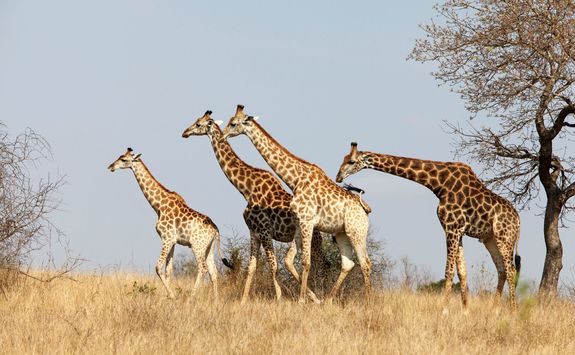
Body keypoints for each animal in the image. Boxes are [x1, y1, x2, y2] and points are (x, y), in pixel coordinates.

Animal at [108, 149, 227, 302]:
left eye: (123, 159)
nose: (110, 167)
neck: (158, 206)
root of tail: (215, 230)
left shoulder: (167, 238)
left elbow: (158, 267)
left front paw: (172, 296)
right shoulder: (173, 241)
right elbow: (168, 269)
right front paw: (167, 299)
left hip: (197, 245)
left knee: (203, 268)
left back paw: (190, 299)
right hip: (209, 247)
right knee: (213, 271)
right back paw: (216, 301)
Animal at [182, 110, 330, 304]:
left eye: (198, 124)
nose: (185, 132)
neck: (246, 188)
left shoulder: (265, 231)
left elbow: (273, 265)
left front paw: (279, 299)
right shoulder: (254, 232)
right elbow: (252, 267)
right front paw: (244, 301)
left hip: (313, 238)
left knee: (322, 264)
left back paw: (319, 295)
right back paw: (316, 297)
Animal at [220, 105, 374, 304]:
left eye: (233, 123)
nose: (222, 135)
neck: (295, 179)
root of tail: (365, 209)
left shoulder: (307, 221)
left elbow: (305, 262)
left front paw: (301, 301)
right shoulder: (300, 223)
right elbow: (295, 261)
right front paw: (309, 298)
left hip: (357, 231)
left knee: (365, 262)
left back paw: (367, 301)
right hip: (341, 233)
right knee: (348, 263)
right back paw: (328, 300)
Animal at [336, 143, 524, 310]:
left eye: (351, 161)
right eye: (343, 158)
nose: (338, 177)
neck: (438, 183)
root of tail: (518, 221)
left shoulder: (451, 227)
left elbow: (449, 271)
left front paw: (444, 310)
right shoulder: (458, 230)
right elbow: (462, 272)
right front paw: (465, 311)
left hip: (504, 238)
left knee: (511, 270)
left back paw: (513, 311)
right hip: (490, 239)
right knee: (502, 270)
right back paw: (494, 310)